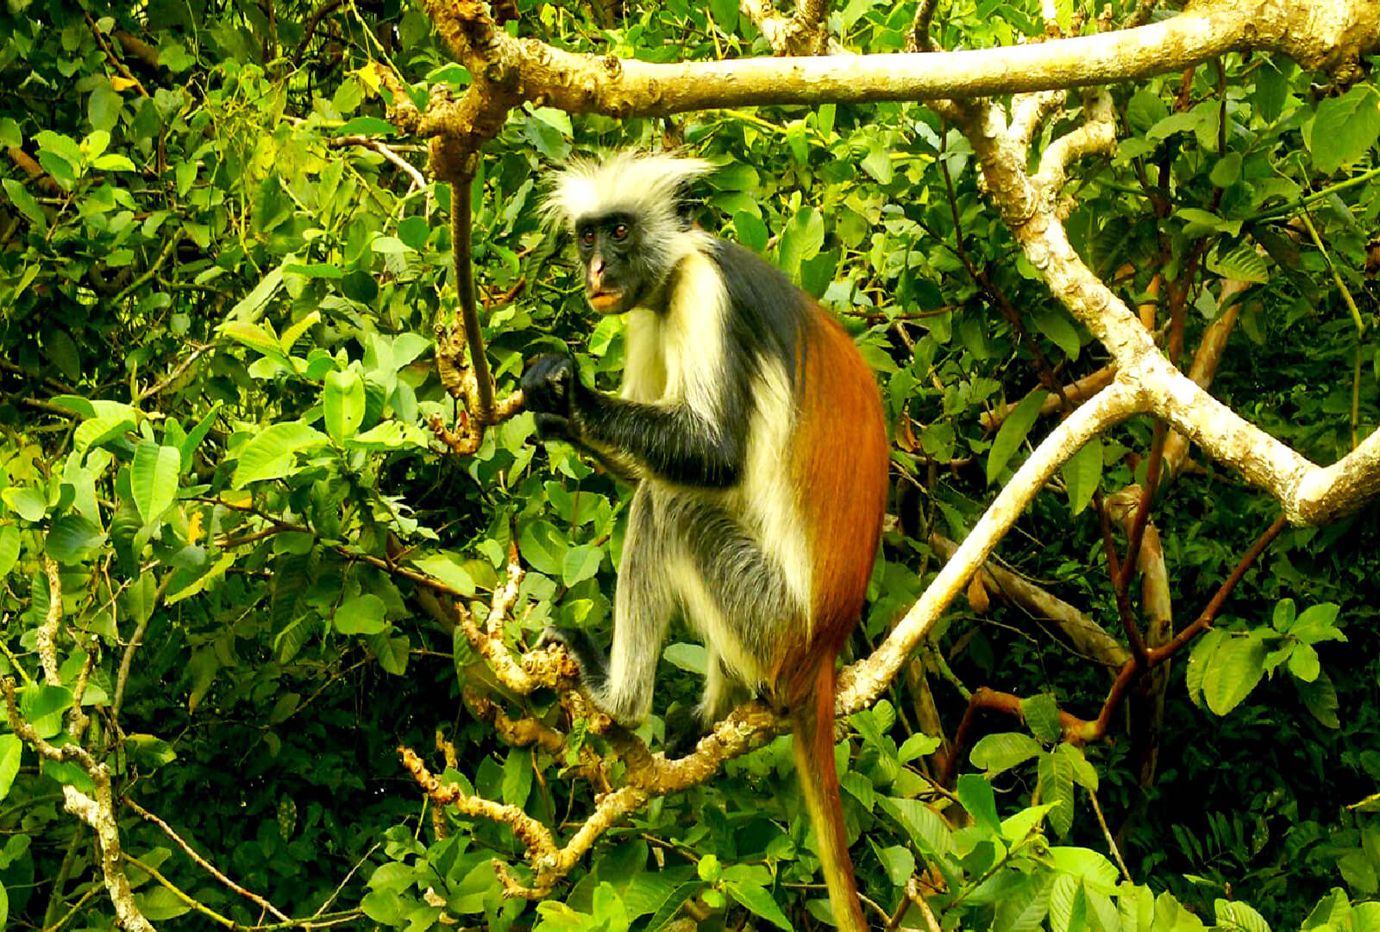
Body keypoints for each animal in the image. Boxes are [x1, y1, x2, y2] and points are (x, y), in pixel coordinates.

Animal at [521, 149, 888, 927]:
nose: (597, 271)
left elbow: (713, 456)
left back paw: (619, 702)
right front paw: (559, 414)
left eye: (621, 232)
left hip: (767, 616)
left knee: (669, 504)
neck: (675, 268)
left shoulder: (703, 294)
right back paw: (713, 713)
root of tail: (821, 652)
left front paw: (569, 395)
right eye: (588, 236)